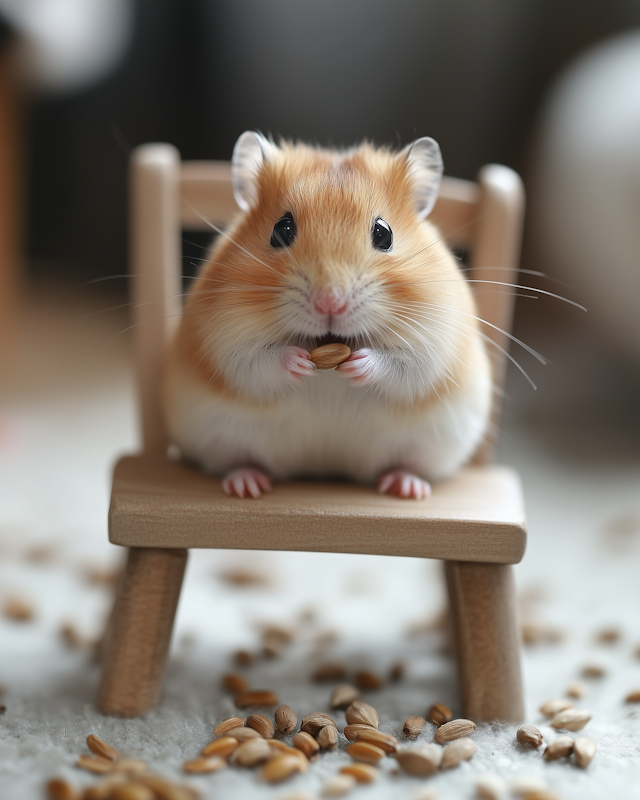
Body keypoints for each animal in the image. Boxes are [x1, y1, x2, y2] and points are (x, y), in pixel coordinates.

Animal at [164, 130, 490, 500]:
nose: (330, 303)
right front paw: (301, 363)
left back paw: (407, 487)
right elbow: (256, 360)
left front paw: (356, 364)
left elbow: (403, 365)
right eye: (281, 230)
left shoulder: (433, 345)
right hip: (222, 438)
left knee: (405, 464)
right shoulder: (226, 342)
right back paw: (246, 484)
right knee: (238, 460)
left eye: (384, 233)